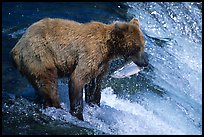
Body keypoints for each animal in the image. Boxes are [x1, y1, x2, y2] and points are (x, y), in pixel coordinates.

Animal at [10, 17, 147, 120]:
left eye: (143, 45)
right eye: (137, 47)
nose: (145, 63)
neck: (109, 48)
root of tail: (15, 49)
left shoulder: (101, 64)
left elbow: (94, 84)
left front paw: (94, 103)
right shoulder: (90, 53)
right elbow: (78, 79)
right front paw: (78, 114)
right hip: (40, 55)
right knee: (49, 84)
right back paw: (58, 107)